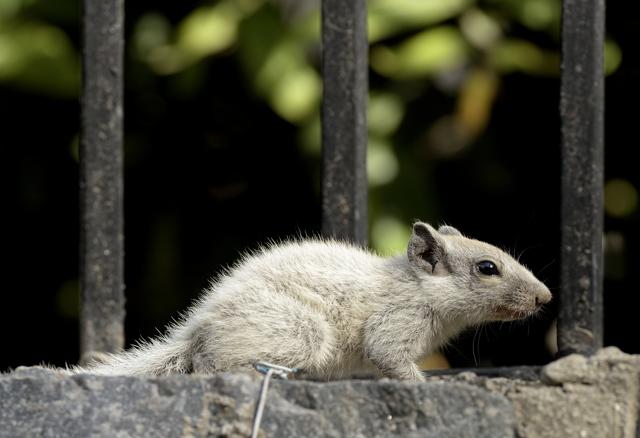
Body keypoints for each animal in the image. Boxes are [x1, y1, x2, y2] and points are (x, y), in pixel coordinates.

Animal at [73, 222, 552, 381]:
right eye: (488, 267)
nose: (545, 297)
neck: (416, 285)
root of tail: (197, 327)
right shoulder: (395, 323)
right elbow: (390, 358)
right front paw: (424, 385)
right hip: (300, 333)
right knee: (209, 364)